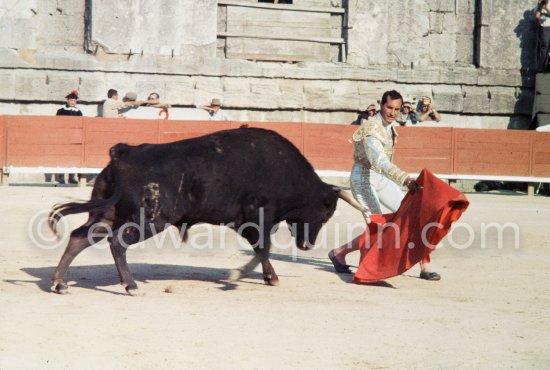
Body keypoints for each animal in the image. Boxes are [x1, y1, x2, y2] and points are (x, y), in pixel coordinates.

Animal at [48, 127, 366, 294]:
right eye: (326, 211)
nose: (307, 244)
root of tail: (123, 153)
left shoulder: (252, 222)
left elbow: (261, 250)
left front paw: (266, 276)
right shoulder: (257, 218)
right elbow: (262, 248)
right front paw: (242, 276)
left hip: (106, 214)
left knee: (79, 237)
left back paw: (60, 283)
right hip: (147, 221)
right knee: (116, 243)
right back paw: (131, 285)